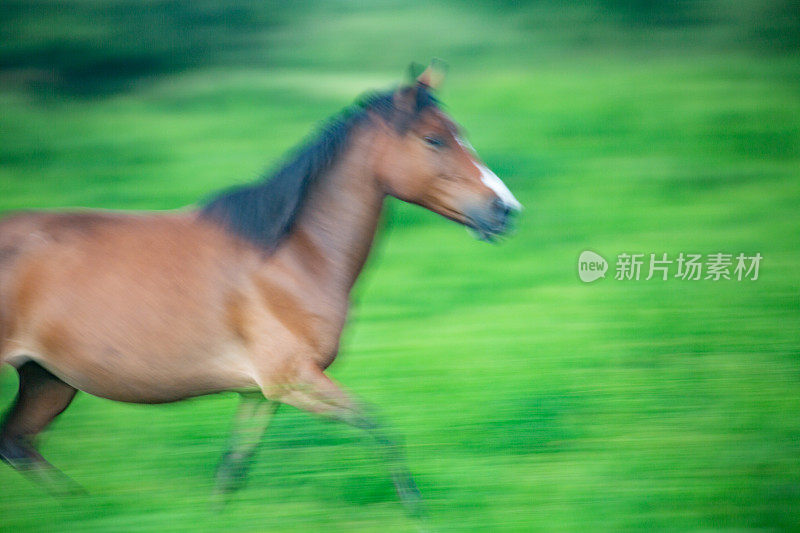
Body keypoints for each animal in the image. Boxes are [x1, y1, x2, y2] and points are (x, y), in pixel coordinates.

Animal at [0, 62, 520, 516]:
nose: (506, 211)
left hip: (48, 380)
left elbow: (232, 469)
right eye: (433, 139)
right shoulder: (292, 378)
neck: (292, 257)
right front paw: (418, 511)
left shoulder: (259, 394)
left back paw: (85, 507)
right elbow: (380, 426)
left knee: (17, 442)